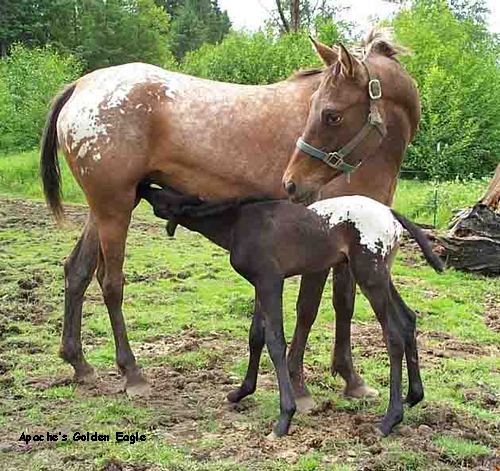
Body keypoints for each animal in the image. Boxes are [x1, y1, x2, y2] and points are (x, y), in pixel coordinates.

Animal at [41, 27, 420, 408]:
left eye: (331, 114)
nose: (292, 182)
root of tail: (81, 85)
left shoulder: (355, 241)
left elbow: (344, 302)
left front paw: (351, 379)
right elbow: (308, 308)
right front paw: (300, 386)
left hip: (106, 208)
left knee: (77, 271)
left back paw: (79, 362)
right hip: (114, 209)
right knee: (111, 284)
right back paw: (132, 373)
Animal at [139, 185, 444, 438]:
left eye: (164, 197)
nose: (144, 186)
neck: (238, 224)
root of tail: (391, 213)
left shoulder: (270, 282)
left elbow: (275, 342)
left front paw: (285, 417)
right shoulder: (260, 284)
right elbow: (256, 336)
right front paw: (241, 392)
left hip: (369, 277)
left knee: (393, 334)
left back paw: (390, 419)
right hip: (381, 277)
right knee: (408, 321)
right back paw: (413, 396)